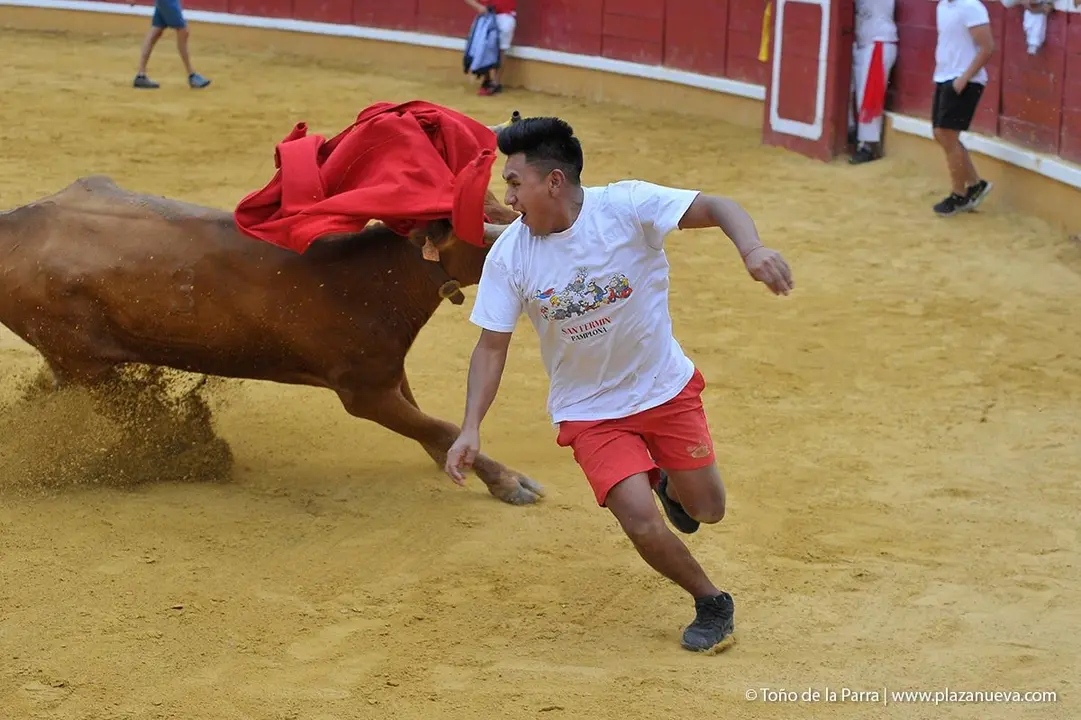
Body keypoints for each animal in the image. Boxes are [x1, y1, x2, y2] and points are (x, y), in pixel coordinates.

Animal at [0, 111, 544, 505]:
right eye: (484, 233)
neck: (374, 277)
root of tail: (13, 224)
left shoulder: (387, 371)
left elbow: (429, 420)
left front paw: (456, 459)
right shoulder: (363, 391)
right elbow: (437, 423)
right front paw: (509, 482)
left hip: (74, 364)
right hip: (87, 362)